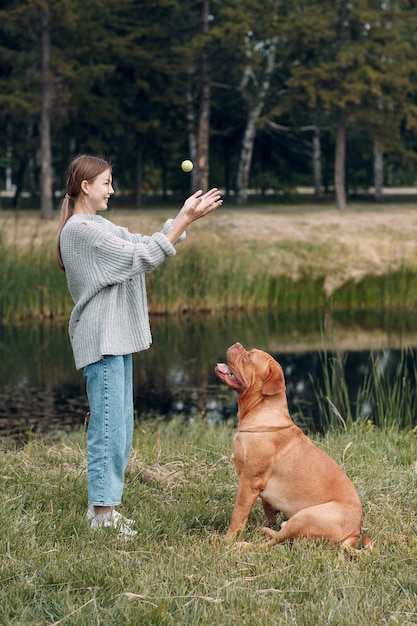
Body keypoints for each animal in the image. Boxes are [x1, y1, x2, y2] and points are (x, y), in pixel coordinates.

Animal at [214, 342, 370, 544]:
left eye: (249, 356)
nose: (237, 344)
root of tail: (353, 534)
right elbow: (268, 509)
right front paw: (269, 522)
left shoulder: (249, 483)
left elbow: (238, 514)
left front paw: (227, 539)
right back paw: (265, 530)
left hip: (305, 516)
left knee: (273, 544)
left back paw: (243, 544)